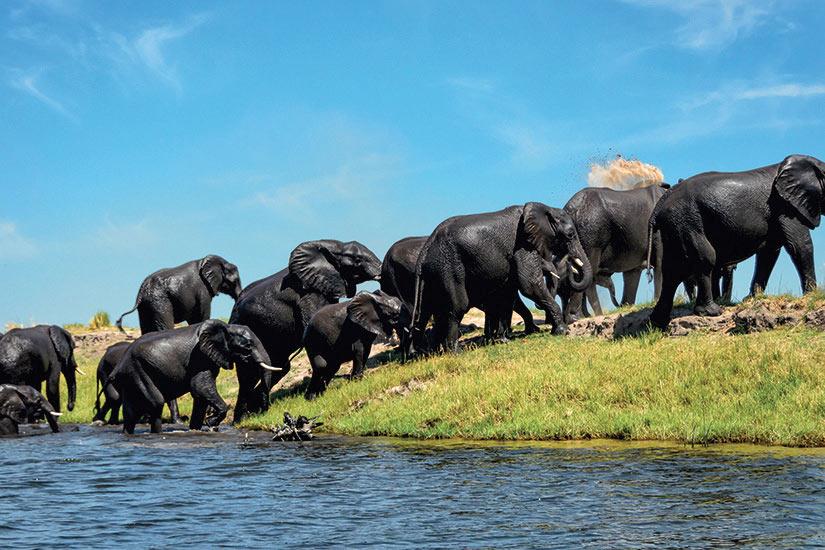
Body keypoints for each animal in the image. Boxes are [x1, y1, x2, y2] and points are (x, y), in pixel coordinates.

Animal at [109, 320, 274, 436]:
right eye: (248, 346)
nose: (262, 412)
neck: (226, 327)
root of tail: (119, 366)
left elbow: (200, 396)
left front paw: (198, 428)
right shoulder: (200, 357)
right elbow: (200, 387)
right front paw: (211, 422)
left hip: (131, 377)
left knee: (130, 412)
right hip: (137, 370)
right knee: (156, 403)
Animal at [229, 240, 384, 422]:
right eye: (357, 260)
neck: (333, 246)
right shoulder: (308, 294)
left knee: (279, 366)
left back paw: (251, 412)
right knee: (249, 374)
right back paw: (242, 419)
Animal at [412, 204, 592, 354]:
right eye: (570, 234)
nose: (572, 263)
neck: (544, 208)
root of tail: (426, 247)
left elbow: (508, 295)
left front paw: (504, 340)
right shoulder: (523, 244)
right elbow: (529, 285)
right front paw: (561, 331)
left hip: (434, 273)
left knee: (428, 311)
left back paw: (431, 353)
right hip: (448, 266)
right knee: (456, 308)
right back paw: (455, 352)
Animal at [556, 183, 672, 326]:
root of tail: (571, 208)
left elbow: (632, 274)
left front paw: (627, 306)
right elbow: (661, 264)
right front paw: (655, 302)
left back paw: (583, 316)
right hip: (592, 233)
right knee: (587, 271)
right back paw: (581, 317)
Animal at [652, 153, 824, 330]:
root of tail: (659, 205)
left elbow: (768, 253)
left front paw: (753, 298)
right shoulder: (786, 206)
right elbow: (799, 245)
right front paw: (812, 295)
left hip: (675, 226)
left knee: (673, 270)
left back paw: (657, 322)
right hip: (687, 220)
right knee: (705, 258)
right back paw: (712, 311)